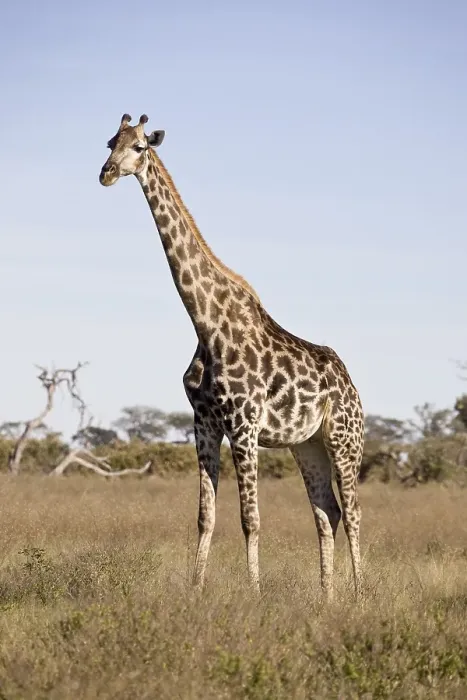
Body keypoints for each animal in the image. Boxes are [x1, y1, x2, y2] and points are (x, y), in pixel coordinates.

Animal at [99, 113, 365, 599]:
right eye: (111, 142)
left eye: (140, 147)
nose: (106, 173)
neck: (205, 323)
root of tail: (352, 384)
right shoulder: (204, 422)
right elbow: (206, 516)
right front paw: (195, 588)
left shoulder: (244, 424)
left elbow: (250, 519)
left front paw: (254, 592)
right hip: (307, 445)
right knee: (328, 512)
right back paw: (327, 595)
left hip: (343, 438)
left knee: (353, 513)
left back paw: (359, 594)